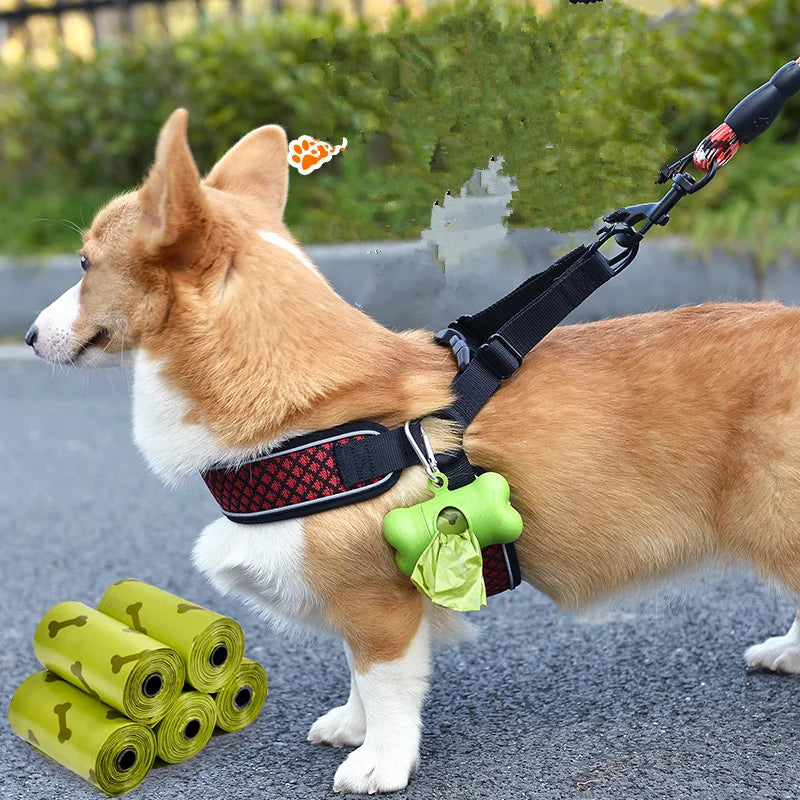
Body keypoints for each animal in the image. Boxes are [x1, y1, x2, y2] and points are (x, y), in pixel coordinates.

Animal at [26, 108, 800, 792]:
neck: (297, 404)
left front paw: (379, 762)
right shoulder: (362, 600)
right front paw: (351, 725)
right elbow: (355, 675)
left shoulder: (379, 605)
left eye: (86, 263)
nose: (29, 337)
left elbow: (387, 688)